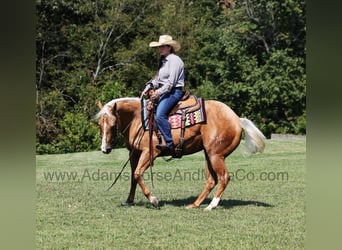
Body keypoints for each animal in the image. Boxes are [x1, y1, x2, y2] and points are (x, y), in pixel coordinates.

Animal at [95, 96, 266, 210]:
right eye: (99, 124)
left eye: (113, 124)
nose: (105, 149)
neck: (138, 119)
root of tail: (236, 118)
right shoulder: (134, 153)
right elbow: (133, 177)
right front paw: (129, 201)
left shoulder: (149, 152)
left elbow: (137, 174)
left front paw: (154, 200)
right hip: (209, 155)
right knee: (211, 180)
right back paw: (194, 204)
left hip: (215, 155)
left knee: (224, 177)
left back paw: (211, 206)